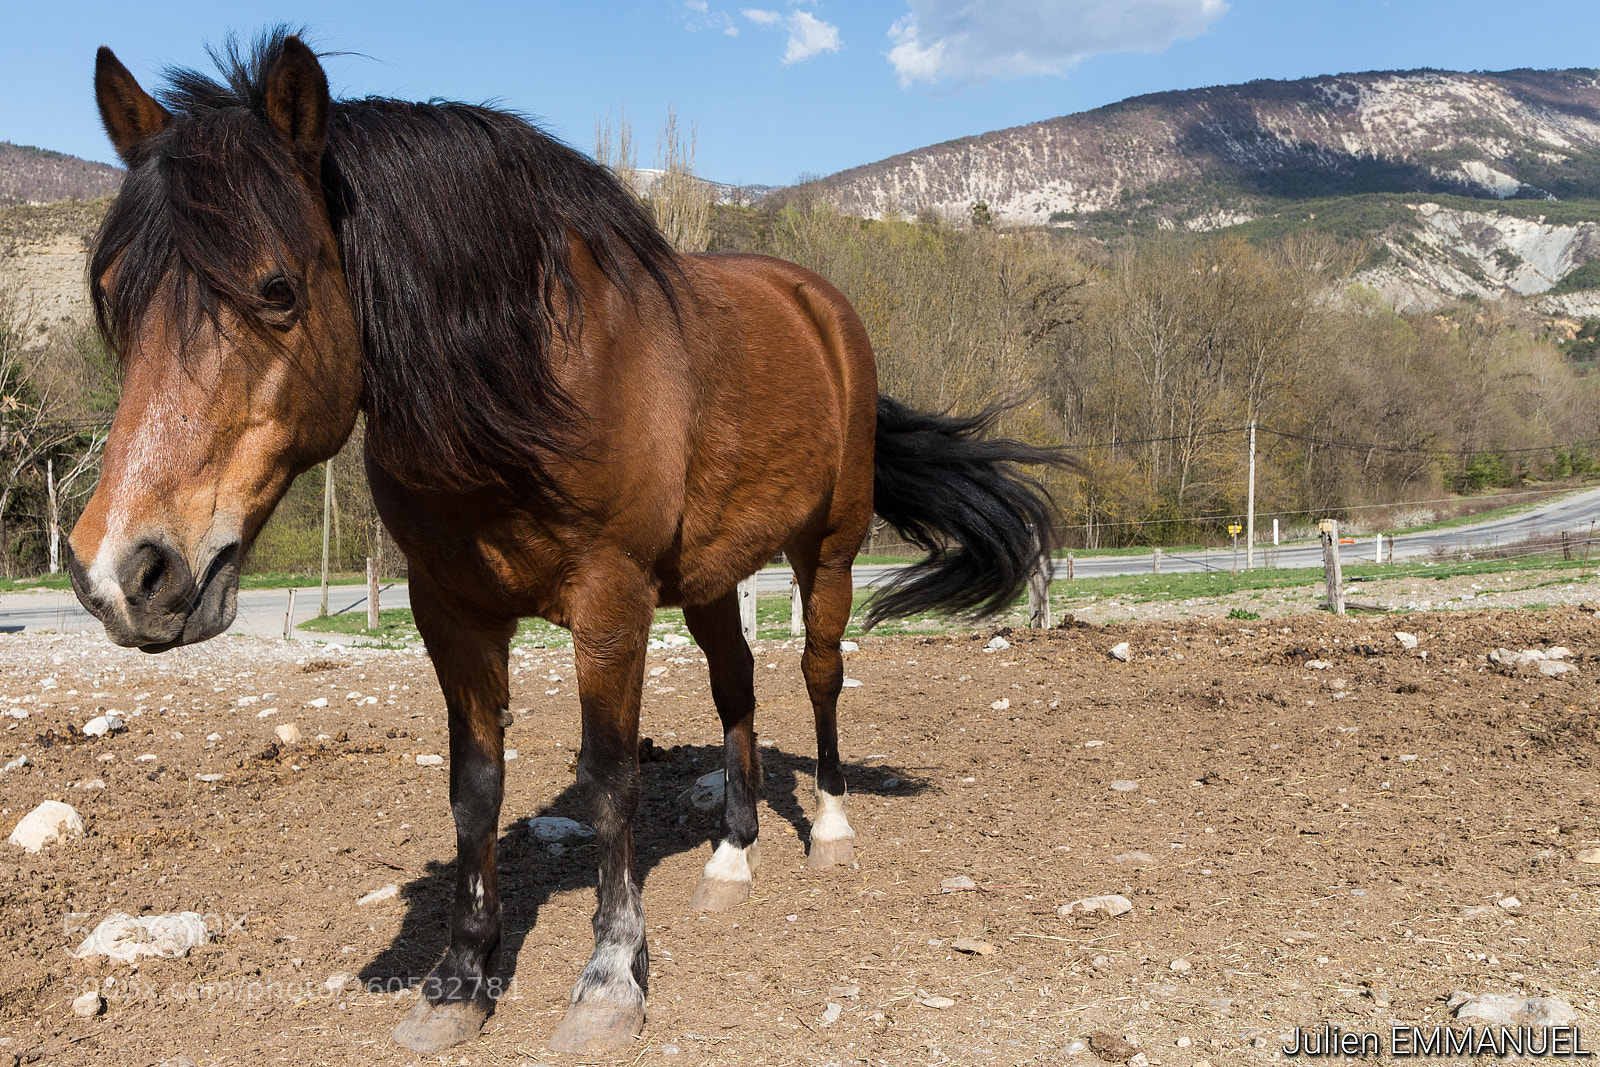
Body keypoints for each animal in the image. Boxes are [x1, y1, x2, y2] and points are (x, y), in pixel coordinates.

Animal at [69, 31, 1062, 1055]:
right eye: (110, 295)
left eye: (277, 289)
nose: (123, 572)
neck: (527, 378)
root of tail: (816, 301)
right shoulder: (450, 610)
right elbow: (475, 787)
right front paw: (459, 976)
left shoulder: (610, 602)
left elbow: (612, 782)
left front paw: (610, 978)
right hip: (710, 575)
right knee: (736, 686)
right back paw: (732, 856)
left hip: (827, 547)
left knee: (820, 671)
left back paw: (828, 829)